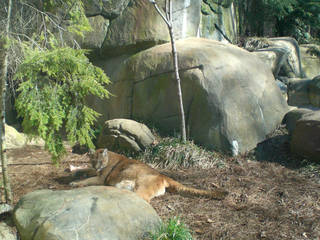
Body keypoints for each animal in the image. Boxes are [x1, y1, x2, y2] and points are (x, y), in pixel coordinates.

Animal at [71, 148, 229, 202]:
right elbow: (86, 170)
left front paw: (74, 183)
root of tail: (163, 175)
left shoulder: (101, 177)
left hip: (142, 186)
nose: (96, 165)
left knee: (143, 200)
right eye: (93, 160)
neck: (108, 157)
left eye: (100, 161)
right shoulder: (94, 171)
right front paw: (75, 172)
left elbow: (89, 180)